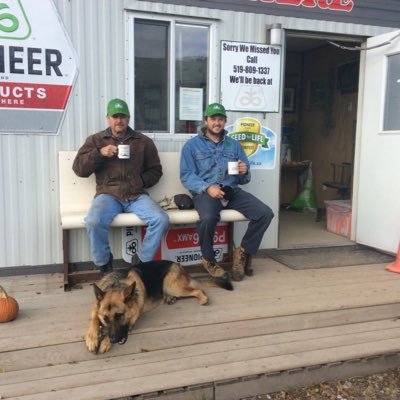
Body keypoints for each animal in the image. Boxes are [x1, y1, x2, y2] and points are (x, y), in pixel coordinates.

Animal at [85, 260, 233, 354]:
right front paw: (92, 338)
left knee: (197, 290)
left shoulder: (131, 320)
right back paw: (169, 299)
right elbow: (93, 320)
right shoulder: (95, 308)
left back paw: (203, 299)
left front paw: (105, 342)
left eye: (119, 315)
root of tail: (178, 265)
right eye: (105, 318)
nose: (113, 339)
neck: (116, 284)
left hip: (172, 285)